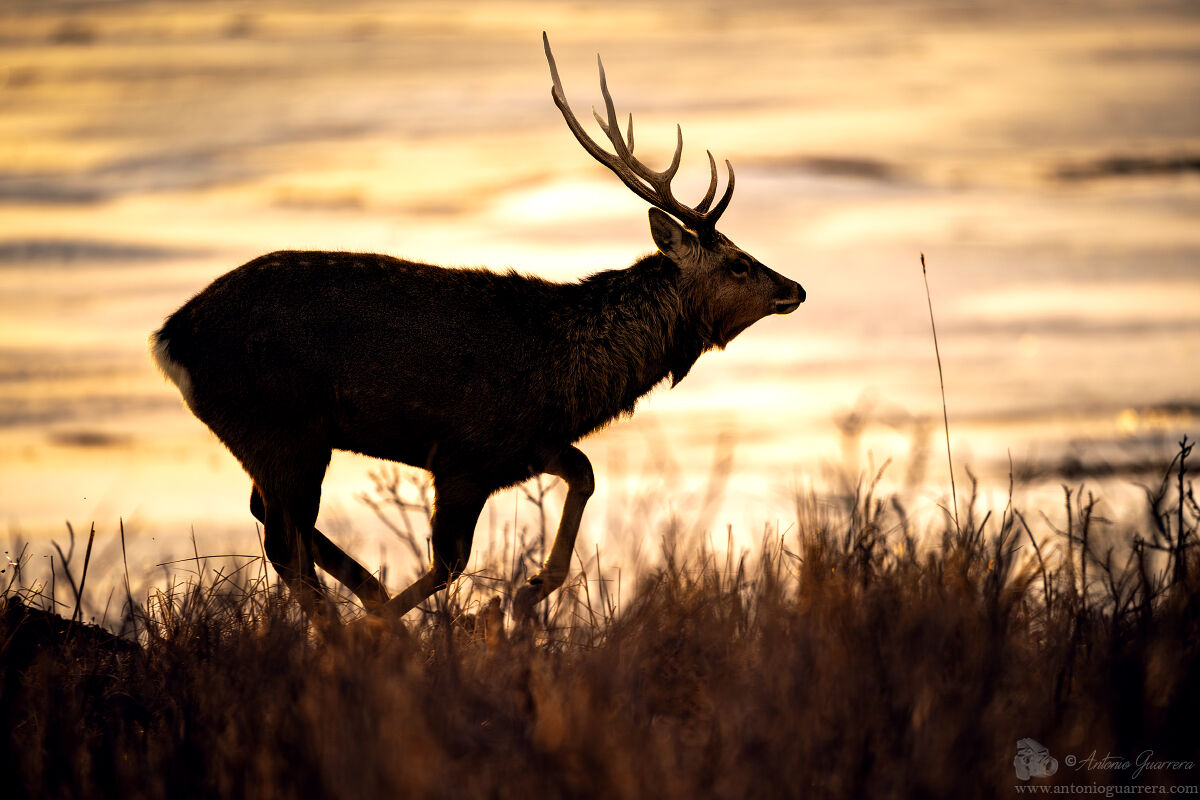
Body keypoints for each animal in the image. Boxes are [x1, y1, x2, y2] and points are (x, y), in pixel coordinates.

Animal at [150, 33, 804, 623]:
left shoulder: (526, 444)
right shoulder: (465, 451)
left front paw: (528, 591)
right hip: (280, 423)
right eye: (737, 262)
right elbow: (450, 561)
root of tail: (169, 339)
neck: (567, 370)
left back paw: (365, 595)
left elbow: (585, 475)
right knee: (284, 538)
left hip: (275, 435)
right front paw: (428, 619)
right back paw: (354, 625)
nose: (794, 288)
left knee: (272, 519)